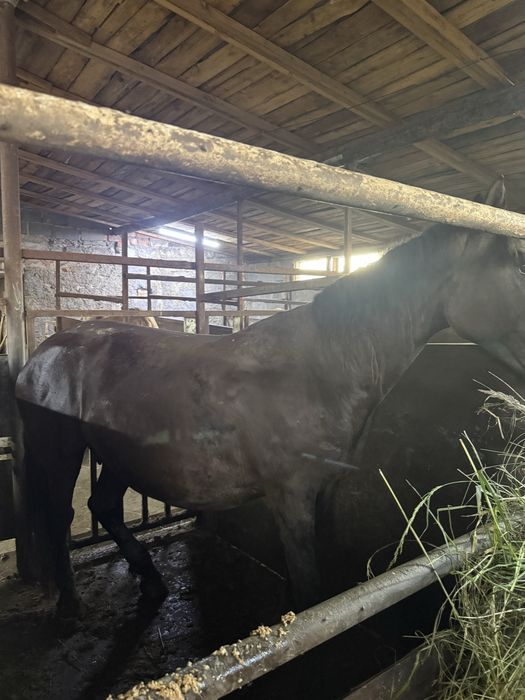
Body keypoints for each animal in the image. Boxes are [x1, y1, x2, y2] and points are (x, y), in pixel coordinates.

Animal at [15, 180, 525, 618]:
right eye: (519, 262)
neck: (322, 367)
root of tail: (47, 350)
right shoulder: (291, 498)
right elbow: (310, 592)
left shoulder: (324, 493)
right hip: (62, 453)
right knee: (61, 517)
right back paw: (70, 605)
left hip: (119, 454)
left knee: (103, 507)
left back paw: (152, 581)